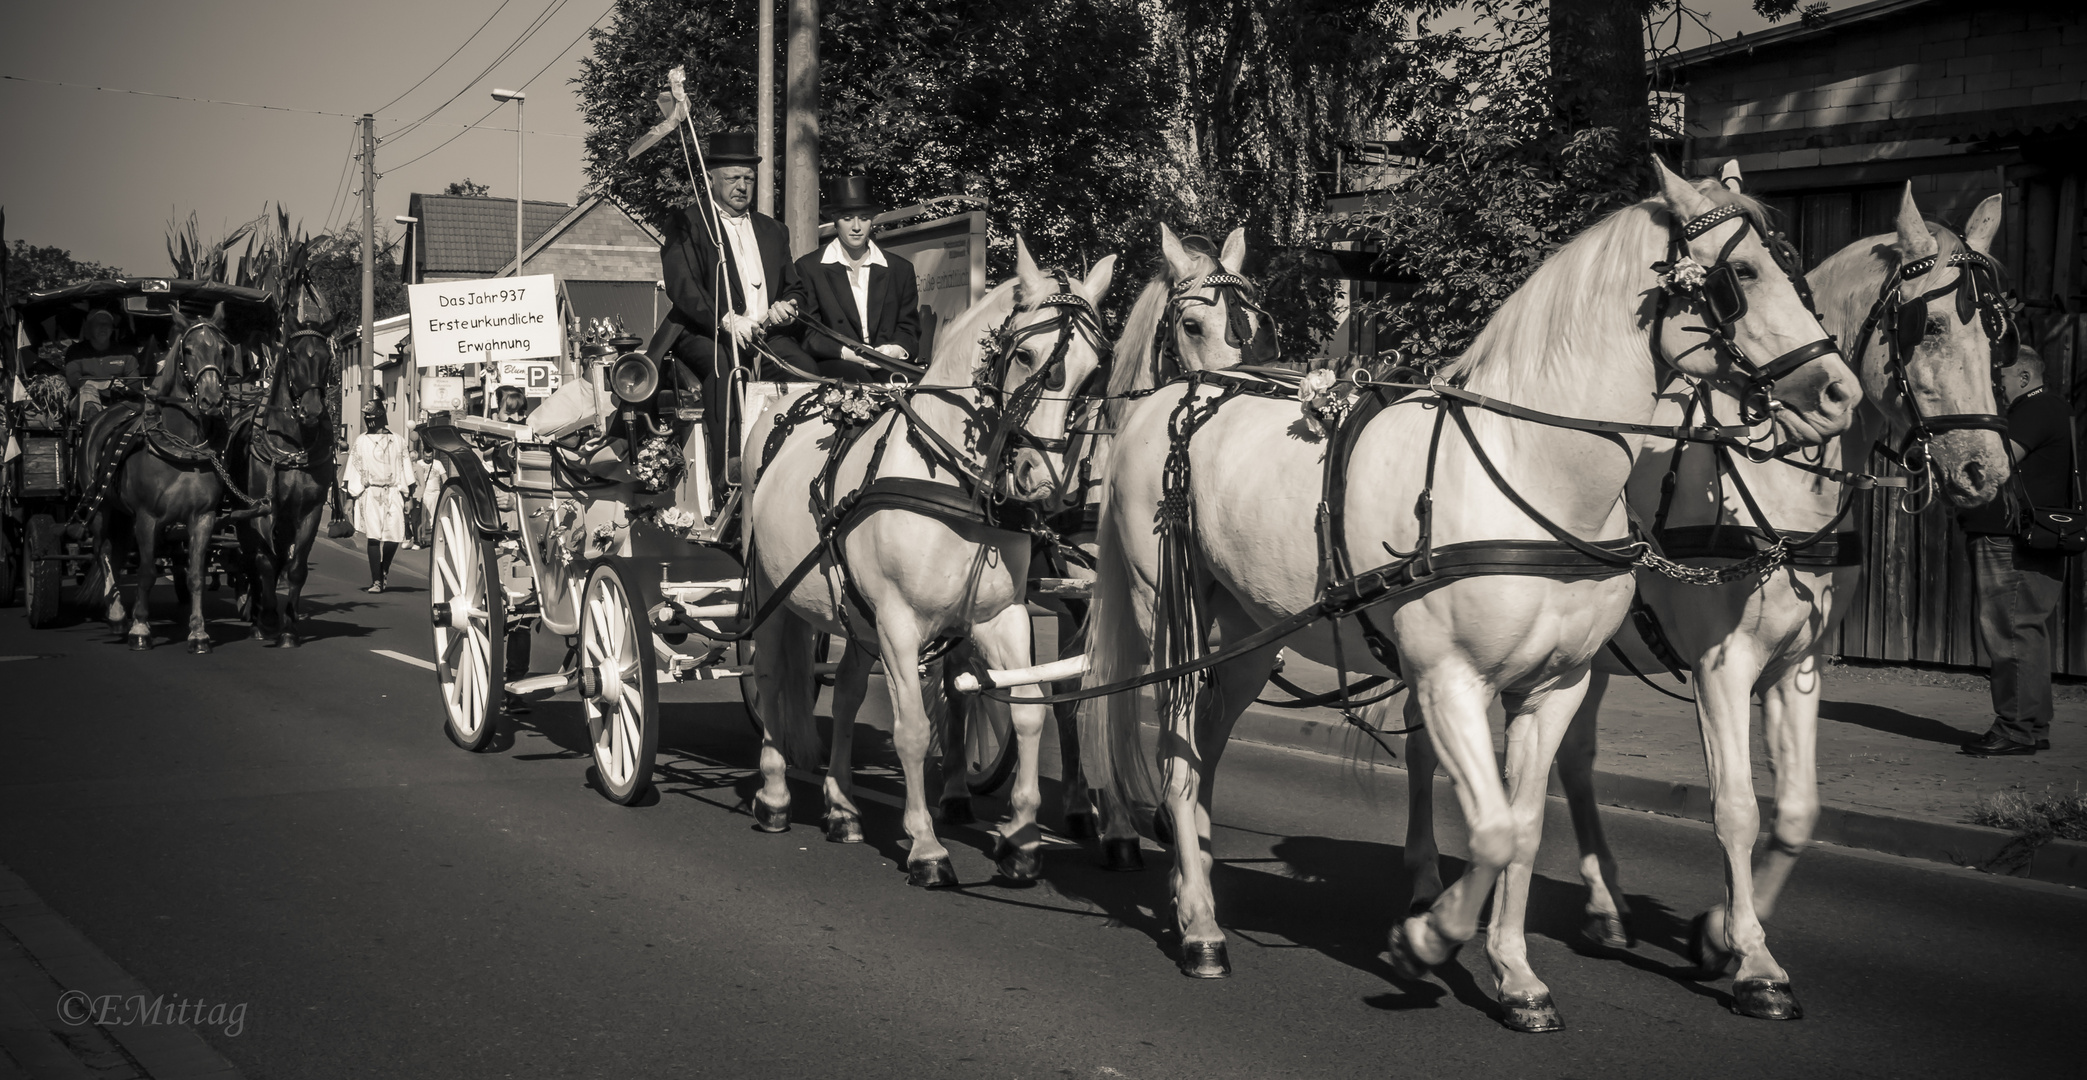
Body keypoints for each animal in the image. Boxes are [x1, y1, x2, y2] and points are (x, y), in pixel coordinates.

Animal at [80, 302, 234, 647]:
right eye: (188, 350)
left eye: (223, 350)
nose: (212, 400)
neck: (181, 448)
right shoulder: (147, 516)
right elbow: (147, 572)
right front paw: (140, 628)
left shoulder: (203, 517)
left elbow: (195, 574)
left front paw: (198, 632)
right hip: (101, 506)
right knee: (102, 550)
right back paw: (117, 615)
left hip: (123, 514)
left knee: (116, 549)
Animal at [228, 327, 333, 643]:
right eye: (293, 354)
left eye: (327, 357)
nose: (312, 410)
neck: (294, 446)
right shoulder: (262, 509)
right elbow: (266, 562)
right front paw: (269, 618)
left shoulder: (310, 511)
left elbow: (296, 568)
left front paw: (288, 628)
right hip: (243, 516)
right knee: (251, 559)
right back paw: (257, 615)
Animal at [742, 240, 1118, 889]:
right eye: (1024, 355)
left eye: (1094, 371)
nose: (1040, 480)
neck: (953, 483)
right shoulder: (898, 623)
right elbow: (914, 729)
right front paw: (926, 847)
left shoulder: (1000, 619)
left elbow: (1027, 713)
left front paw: (1021, 843)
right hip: (772, 593)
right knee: (769, 678)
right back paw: (774, 797)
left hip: (855, 617)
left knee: (845, 694)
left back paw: (842, 808)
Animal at [1076, 157, 1861, 1027]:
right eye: (1741, 275)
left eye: (1794, 269)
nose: (1839, 391)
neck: (1527, 465)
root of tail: (1178, 398)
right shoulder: (1458, 679)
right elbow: (1492, 832)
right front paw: (1425, 939)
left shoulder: (1559, 685)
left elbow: (1521, 826)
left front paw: (1514, 974)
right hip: (1169, 618)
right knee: (1175, 753)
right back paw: (1200, 926)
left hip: (1252, 634)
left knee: (1205, 746)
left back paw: (1198, 876)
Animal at [1394, 178, 2011, 1019]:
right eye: (1931, 324)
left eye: (1998, 334)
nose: (1986, 471)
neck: (1777, 482)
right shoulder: (1724, 664)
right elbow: (1737, 807)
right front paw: (1751, 960)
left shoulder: (1798, 663)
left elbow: (1795, 812)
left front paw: (1719, 933)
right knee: (1423, 747)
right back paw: (1424, 886)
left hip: (1589, 654)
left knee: (1574, 759)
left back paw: (1604, 907)